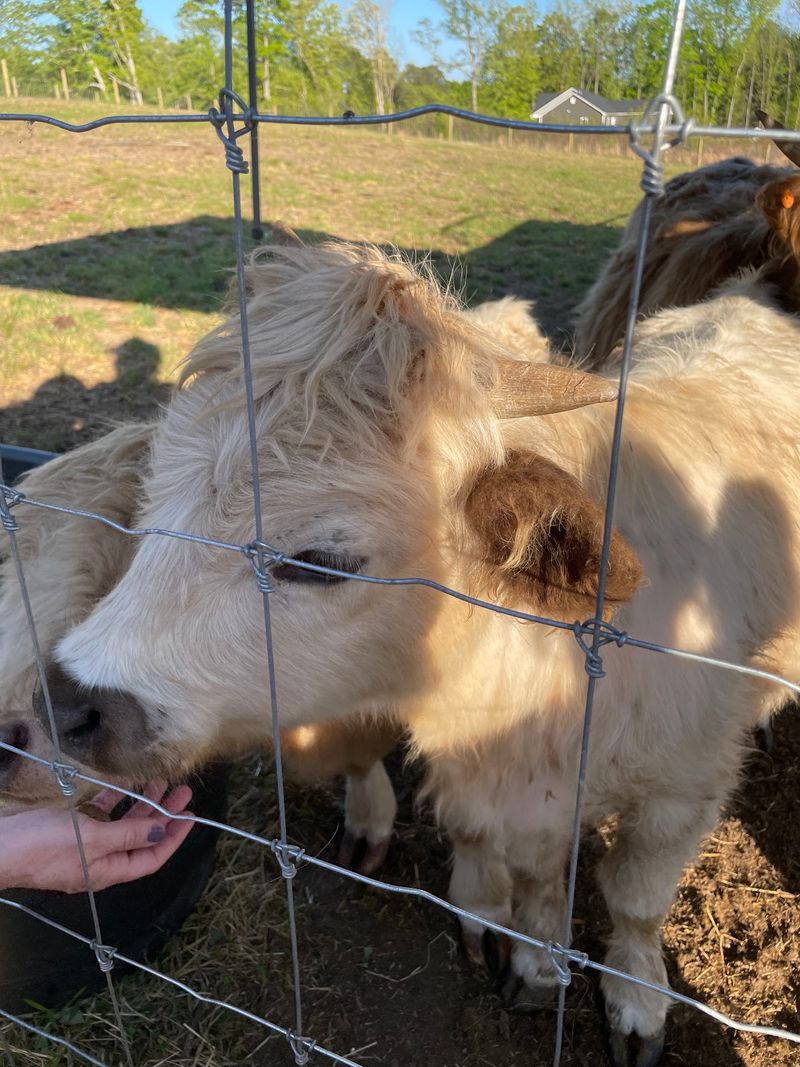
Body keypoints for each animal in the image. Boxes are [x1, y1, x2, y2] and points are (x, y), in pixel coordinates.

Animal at [36, 236, 800, 1064]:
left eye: (323, 559)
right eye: (155, 495)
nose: (69, 699)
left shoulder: (681, 792)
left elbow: (634, 901)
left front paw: (636, 1002)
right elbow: (533, 872)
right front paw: (534, 956)